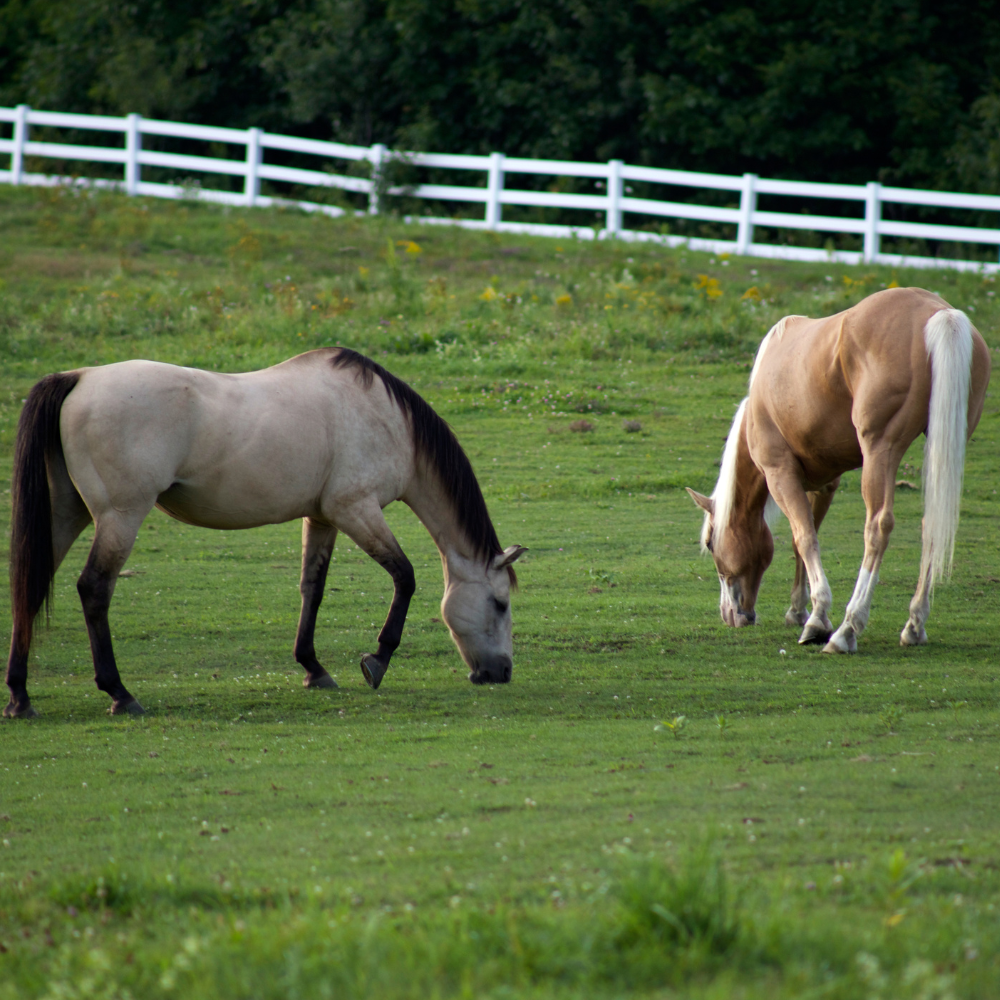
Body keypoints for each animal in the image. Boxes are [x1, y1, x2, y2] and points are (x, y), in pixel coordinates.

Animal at [5, 348, 526, 718]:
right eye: (500, 604)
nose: (501, 672)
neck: (387, 419)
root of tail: (79, 377)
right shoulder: (356, 509)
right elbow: (405, 576)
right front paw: (376, 660)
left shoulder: (323, 517)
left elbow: (312, 588)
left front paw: (313, 669)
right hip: (120, 516)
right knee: (94, 589)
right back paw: (119, 693)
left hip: (66, 514)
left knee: (28, 586)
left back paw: (20, 697)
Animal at [687, 286, 990, 653]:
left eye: (710, 543)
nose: (731, 615)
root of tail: (938, 312)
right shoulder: (824, 483)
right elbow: (803, 540)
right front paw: (797, 610)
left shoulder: (780, 474)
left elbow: (804, 538)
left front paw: (817, 620)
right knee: (932, 525)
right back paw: (914, 625)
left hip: (880, 451)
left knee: (877, 527)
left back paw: (847, 629)